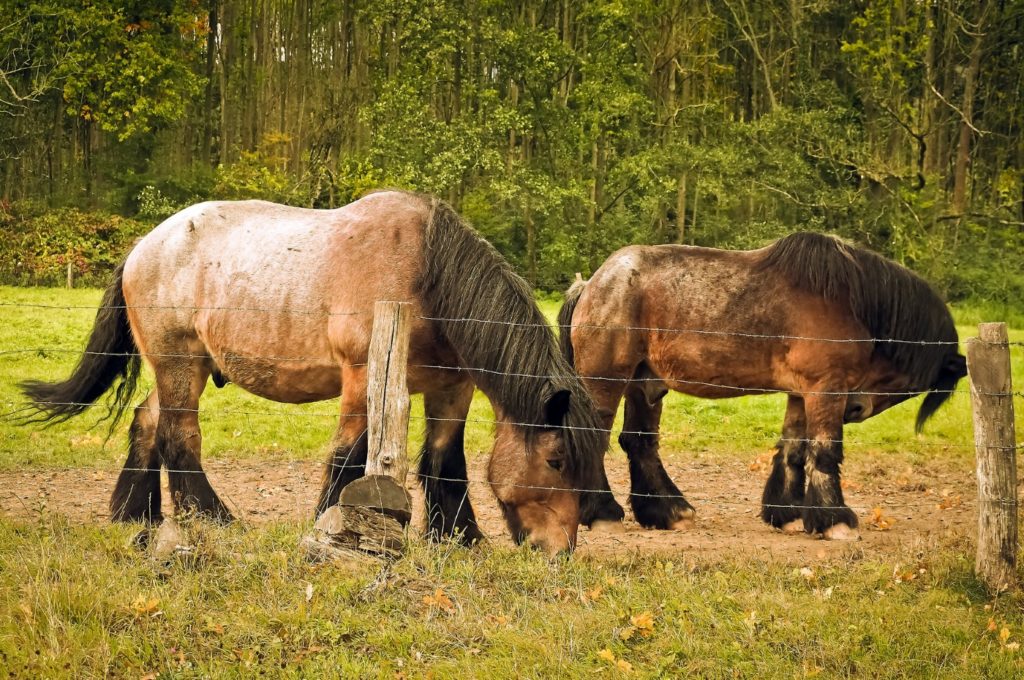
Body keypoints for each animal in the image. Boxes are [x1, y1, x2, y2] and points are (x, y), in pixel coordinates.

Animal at [24, 189, 602, 553]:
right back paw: (212, 517)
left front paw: (459, 537)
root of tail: (142, 247)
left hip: (180, 369)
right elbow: (347, 455)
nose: (558, 551)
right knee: (178, 436)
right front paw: (330, 523)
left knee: (148, 422)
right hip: (179, 365)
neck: (427, 272)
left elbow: (445, 462)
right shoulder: (361, 378)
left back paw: (136, 514)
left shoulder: (450, 390)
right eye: (556, 461)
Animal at [561, 233, 966, 540]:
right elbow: (825, 451)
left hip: (644, 383)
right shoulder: (827, 389)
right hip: (608, 379)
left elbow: (794, 450)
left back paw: (668, 511)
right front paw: (835, 520)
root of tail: (591, 284)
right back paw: (603, 512)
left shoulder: (802, 393)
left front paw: (788, 513)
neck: (849, 303)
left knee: (640, 441)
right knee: (594, 437)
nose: (855, 409)